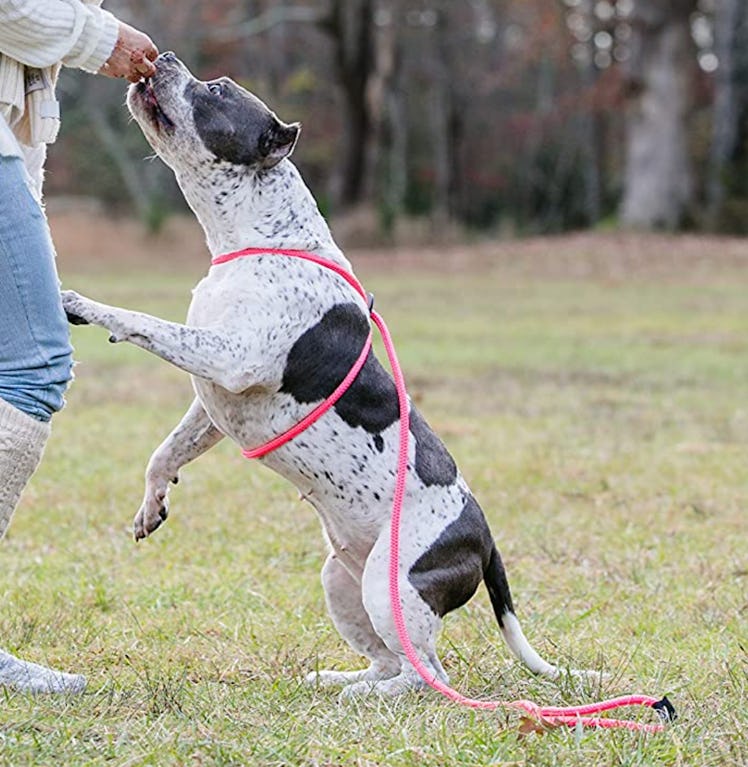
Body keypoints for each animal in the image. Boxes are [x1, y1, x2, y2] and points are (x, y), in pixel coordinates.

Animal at [64, 52, 588, 696]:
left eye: (217, 90)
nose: (162, 58)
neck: (260, 237)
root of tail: (485, 541)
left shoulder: (225, 358)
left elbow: (140, 321)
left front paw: (83, 304)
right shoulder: (211, 401)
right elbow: (166, 451)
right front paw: (151, 504)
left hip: (392, 589)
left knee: (426, 674)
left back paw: (369, 695)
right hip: (342, 581)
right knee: (390, 658)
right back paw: (339, 679)